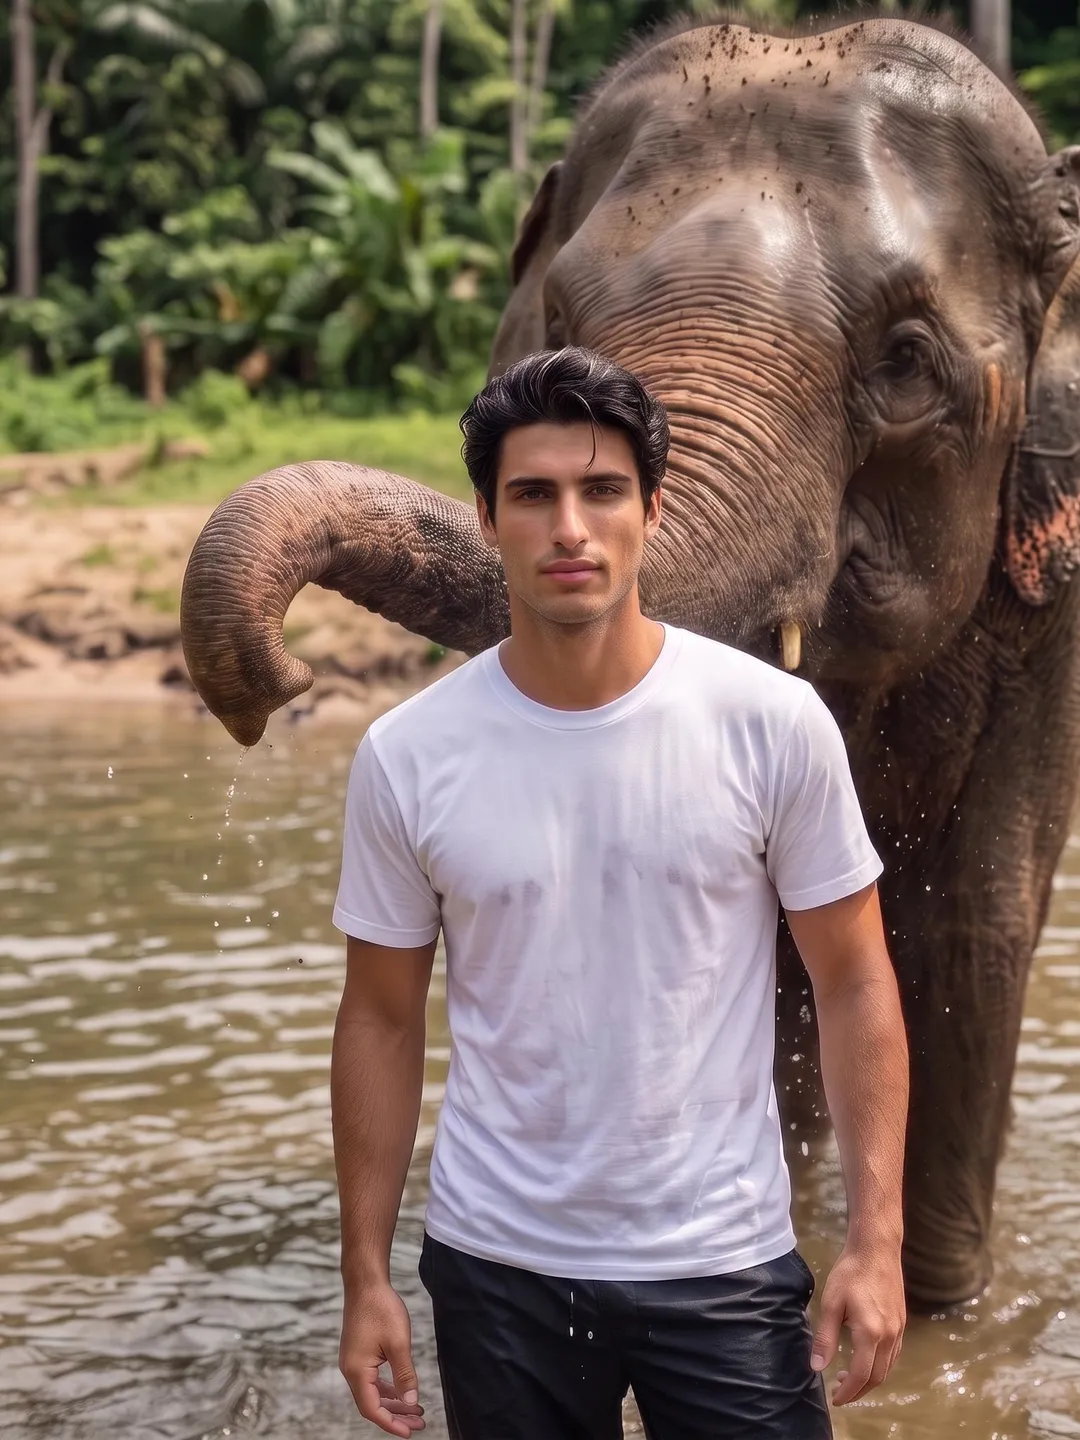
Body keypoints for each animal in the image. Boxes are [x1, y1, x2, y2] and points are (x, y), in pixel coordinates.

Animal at [180, 14, 1080, 1308]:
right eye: (558, 330)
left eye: (907, 361)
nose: (275, 690)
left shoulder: (1048, 616)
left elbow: (976, 922)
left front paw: (942, 1321)